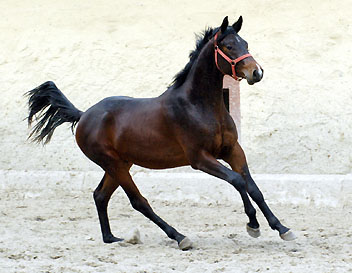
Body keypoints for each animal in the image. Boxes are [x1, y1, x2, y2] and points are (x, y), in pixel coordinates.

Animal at [26, 15, 296, 249]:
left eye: (245, 43)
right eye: (229, 46)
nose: (256, 72)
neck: (199, 106)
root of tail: (83, 115)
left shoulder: (232, 151)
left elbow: (253, 187)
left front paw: (282, 228)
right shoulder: (200, 159)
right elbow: (237, 181)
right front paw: (253, 224)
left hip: (120, 164)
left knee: (100, 196)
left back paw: (111, 238)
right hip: (113, 164)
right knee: (138, 202)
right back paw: (180, 237)